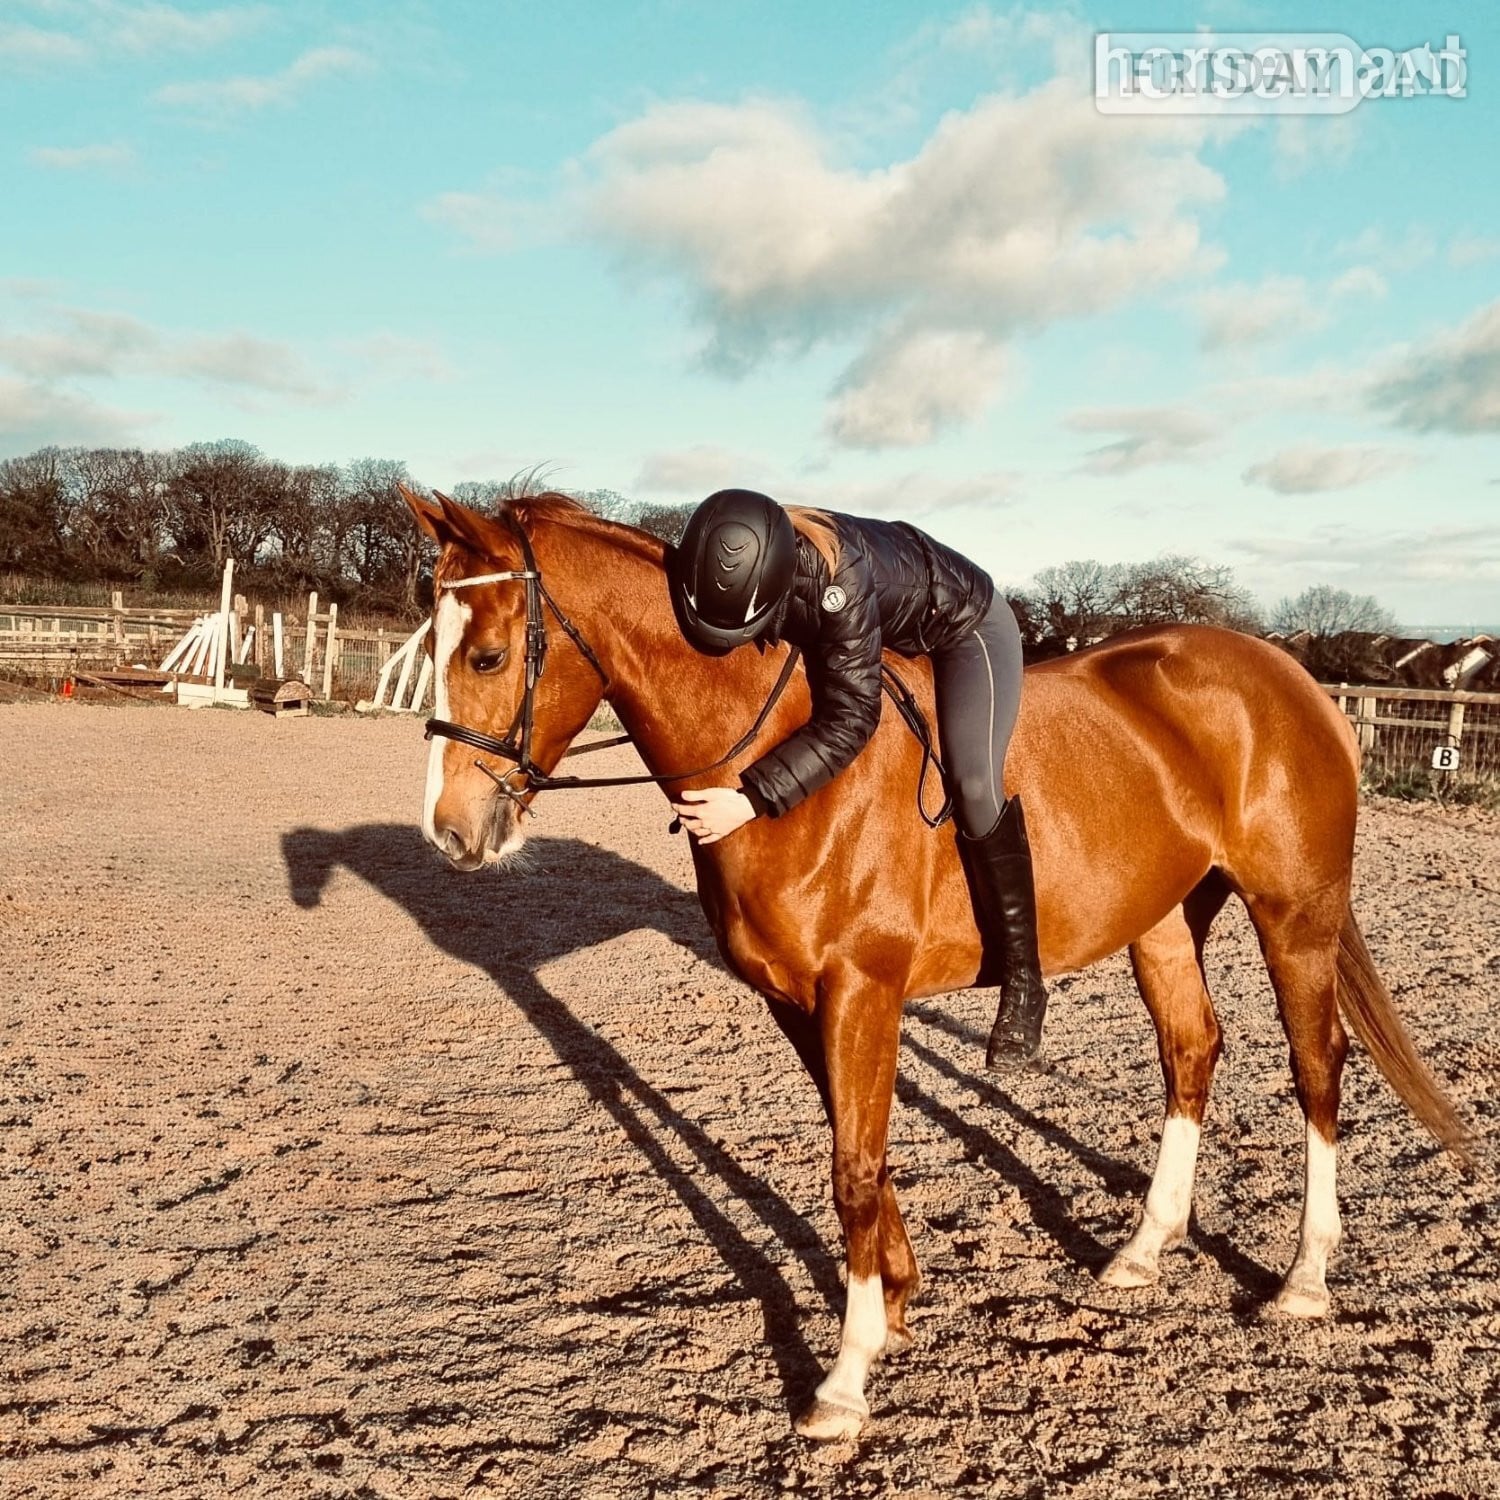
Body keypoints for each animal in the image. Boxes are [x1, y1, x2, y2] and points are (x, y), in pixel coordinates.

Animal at [398, 485, 1470, 1441]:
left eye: (488, 653)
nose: (451, 833)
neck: (778, 759)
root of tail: (1293, 680)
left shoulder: (861, 989)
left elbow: (852, 1168)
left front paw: (844, 1379)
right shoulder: (802, 999)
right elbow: (858, 1151)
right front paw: (898, 1303)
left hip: (1296, 916)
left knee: (1317, 1067)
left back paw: (1303, 1279)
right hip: (1164, 921)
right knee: (1192, 1052)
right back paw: (1143, 1249)